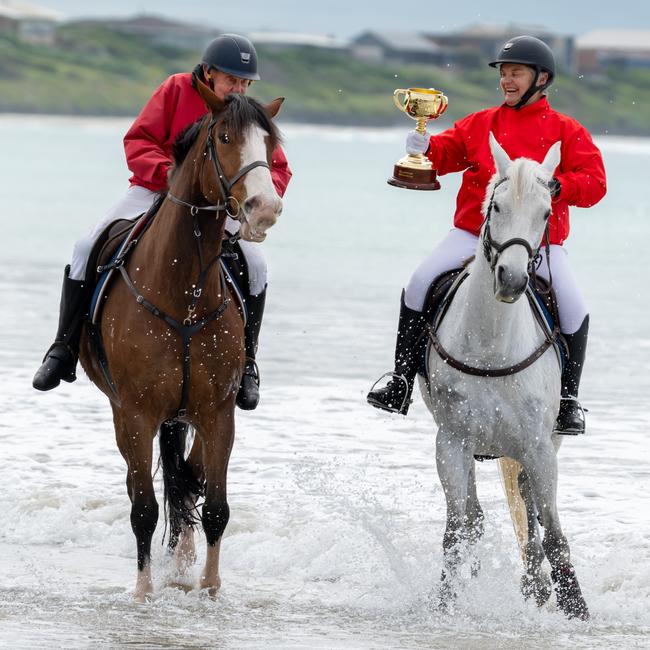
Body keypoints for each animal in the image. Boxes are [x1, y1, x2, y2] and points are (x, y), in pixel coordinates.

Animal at [79, 82, 282, 604]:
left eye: (271, 145)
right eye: (225, 136)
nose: (264, 208)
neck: (182, 291)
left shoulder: (218, 412)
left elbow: (214, 505)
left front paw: (209, 588)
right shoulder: (136, 414)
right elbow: (144, 508)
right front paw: (144, 592)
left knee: (185, 477)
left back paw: (184, 558)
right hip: (127, 414)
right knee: (146, 488)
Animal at [420, 132, 588, 616]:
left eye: (546, 212)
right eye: (495, 206)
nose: (511, 279)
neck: (492, 344)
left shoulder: (539, 447)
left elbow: (553, 533)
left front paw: (575, 607)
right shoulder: (451, 442)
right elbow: (458, 529)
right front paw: (445, 602)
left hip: (541, 443)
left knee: (531, 509)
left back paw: (537, 585)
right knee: (476, 517)